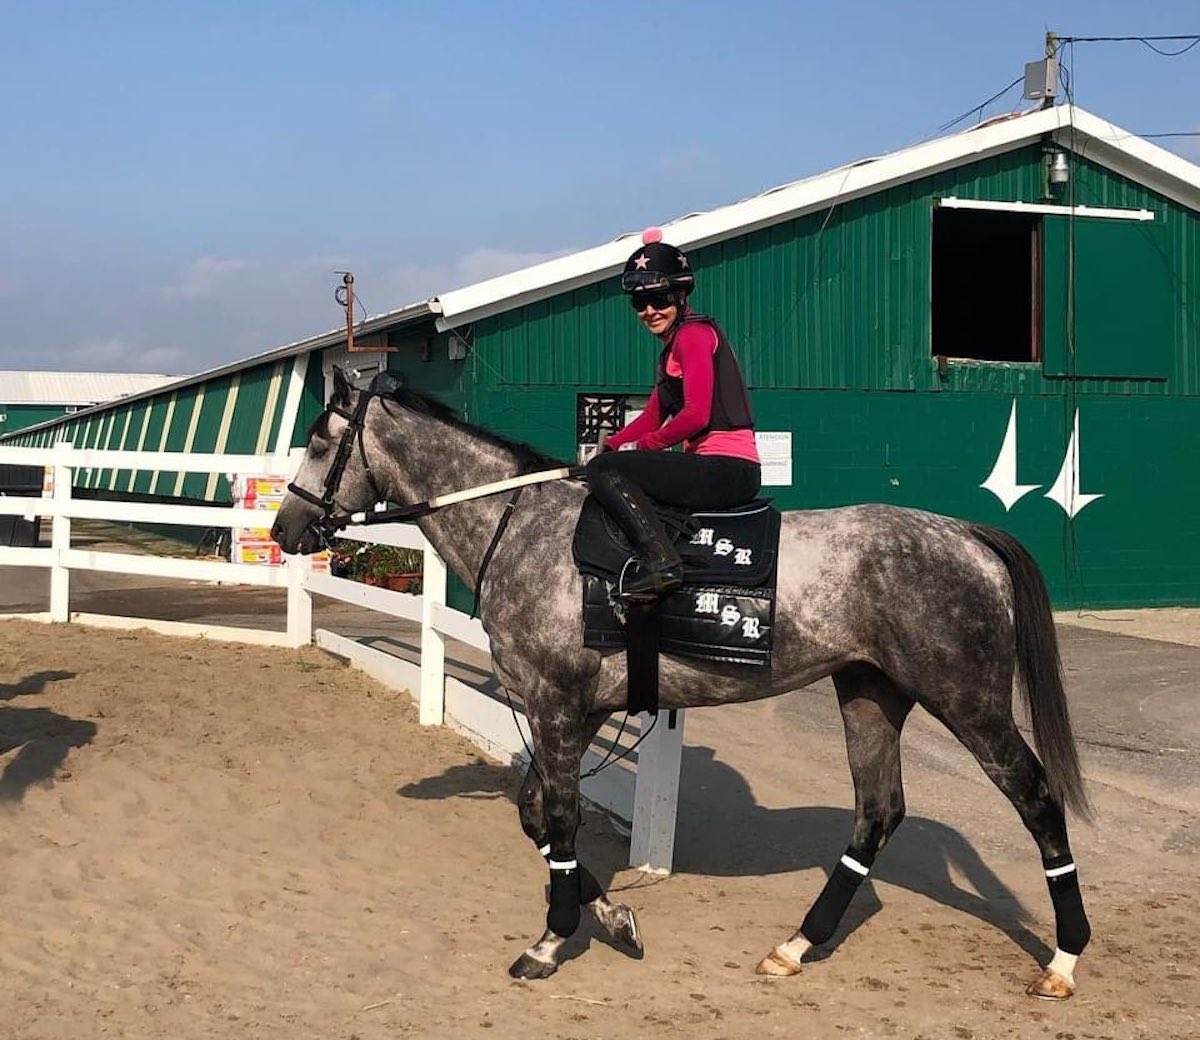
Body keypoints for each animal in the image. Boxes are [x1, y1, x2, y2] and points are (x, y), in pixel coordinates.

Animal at [274, 374, 1099, 1002]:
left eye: (317, 441)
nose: (284, 531)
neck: (523, 526)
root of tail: (965, 535)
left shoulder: (556, 705)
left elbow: (561, 820)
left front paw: (551, 940)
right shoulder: (566, 712)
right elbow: (538, 816)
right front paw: (611, 920)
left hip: (968, 700)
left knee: (1035, 798)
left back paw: (1064, 959)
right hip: (871, 693)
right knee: (877, 813)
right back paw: (797, 944)